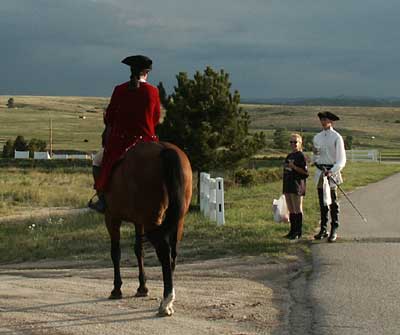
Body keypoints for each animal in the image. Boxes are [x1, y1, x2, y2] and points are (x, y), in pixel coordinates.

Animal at [102, 141, 191, 318]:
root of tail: (165, 149)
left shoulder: (112, 217)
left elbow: (115, 253)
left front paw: (116, 289)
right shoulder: (139, 221)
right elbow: (139, 250)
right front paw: (142, 287)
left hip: (151, 219)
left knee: (164, 251)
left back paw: (166, 302)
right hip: (178, 219)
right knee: (173, 252)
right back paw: (169, 297)